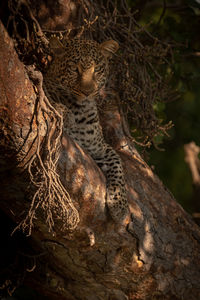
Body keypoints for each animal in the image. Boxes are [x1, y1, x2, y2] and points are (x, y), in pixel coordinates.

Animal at [43, 37, 129, 224]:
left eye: (97, 69)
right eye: (75, 68)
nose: (87, 92)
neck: (79, 109)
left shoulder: (99, 148)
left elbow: (118, 164)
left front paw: (120, 207)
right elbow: (48, 98)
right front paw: (64, 112)